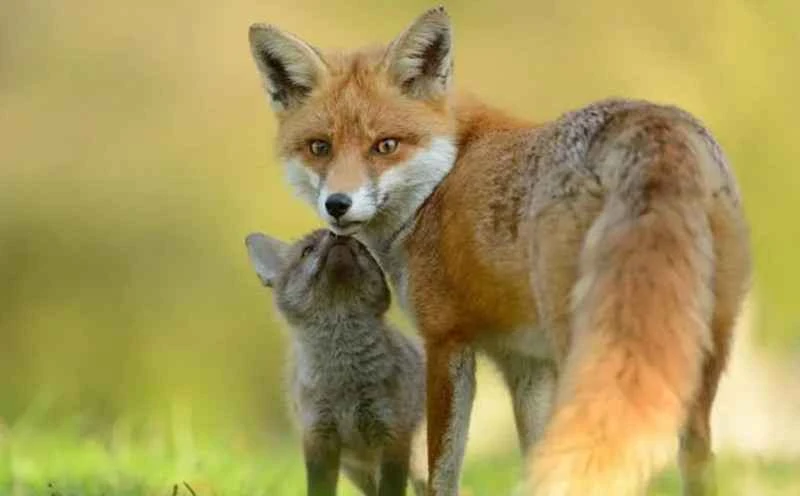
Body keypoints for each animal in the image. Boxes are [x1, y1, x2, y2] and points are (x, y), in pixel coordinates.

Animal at [245, 229, 427, 496]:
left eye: (362, 247)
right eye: (307, 250)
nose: (337, 234)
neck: (344, 381)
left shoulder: (393, 436)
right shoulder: (319, 438)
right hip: (357, 472)